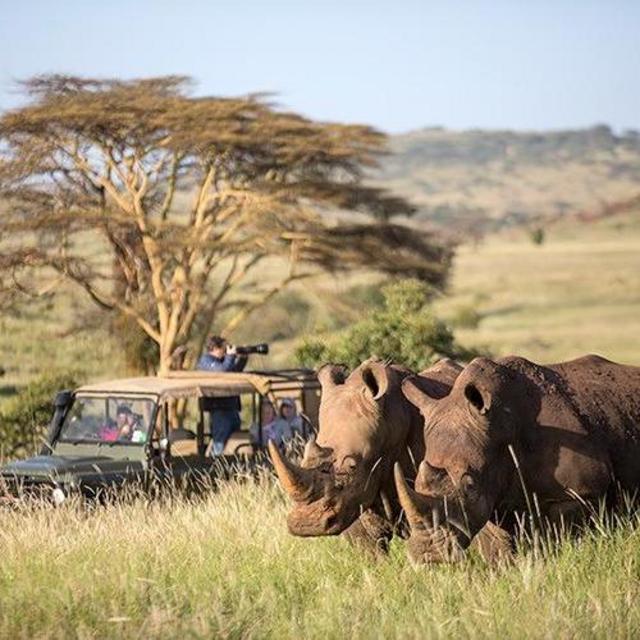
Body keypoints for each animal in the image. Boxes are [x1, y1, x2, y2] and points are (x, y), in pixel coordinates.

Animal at [396, 354, 640, 563]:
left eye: (470, 485)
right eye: (416, 482)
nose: (428, 554)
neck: (502, 425)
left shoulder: (579, 492)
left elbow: (565, 538)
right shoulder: (492, 495)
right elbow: (497, 548)